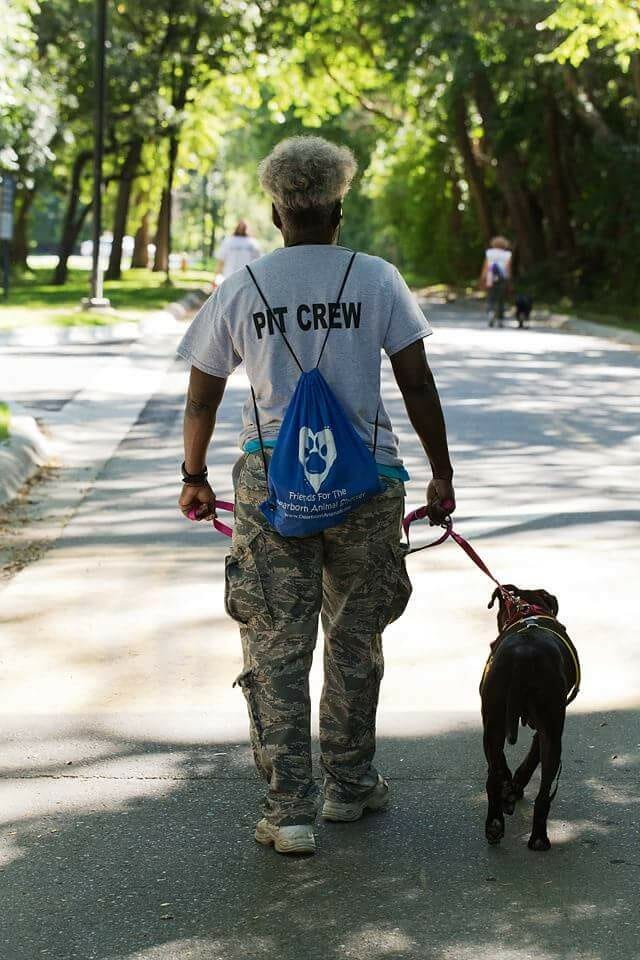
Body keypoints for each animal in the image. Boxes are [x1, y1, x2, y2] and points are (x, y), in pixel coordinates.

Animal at [480, 584, 580, 848]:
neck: (528, 610)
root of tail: (523, 656)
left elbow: (504, 764)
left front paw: (511, 786)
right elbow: (531, 758)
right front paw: (514, 786)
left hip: (494, 723)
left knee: (494, 775)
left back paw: (497, 823)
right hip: (550, 735)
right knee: (542, 793)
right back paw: (537, 837)